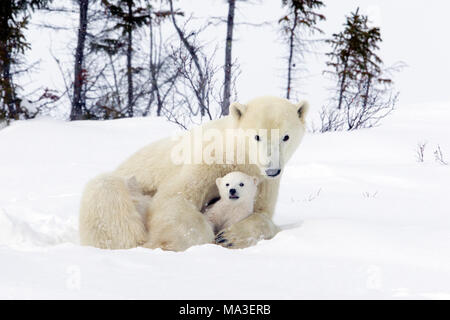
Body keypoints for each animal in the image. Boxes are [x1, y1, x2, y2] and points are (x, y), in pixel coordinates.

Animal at [78, 96, 310, 251]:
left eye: (286, 137)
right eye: (257, 136)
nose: (272, 169)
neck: (238, 154)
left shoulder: (264, 182)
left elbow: (262, 214)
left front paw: (230, 237)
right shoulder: (208, 159)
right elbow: (176, 198)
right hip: (126, 184)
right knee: (107, 189)